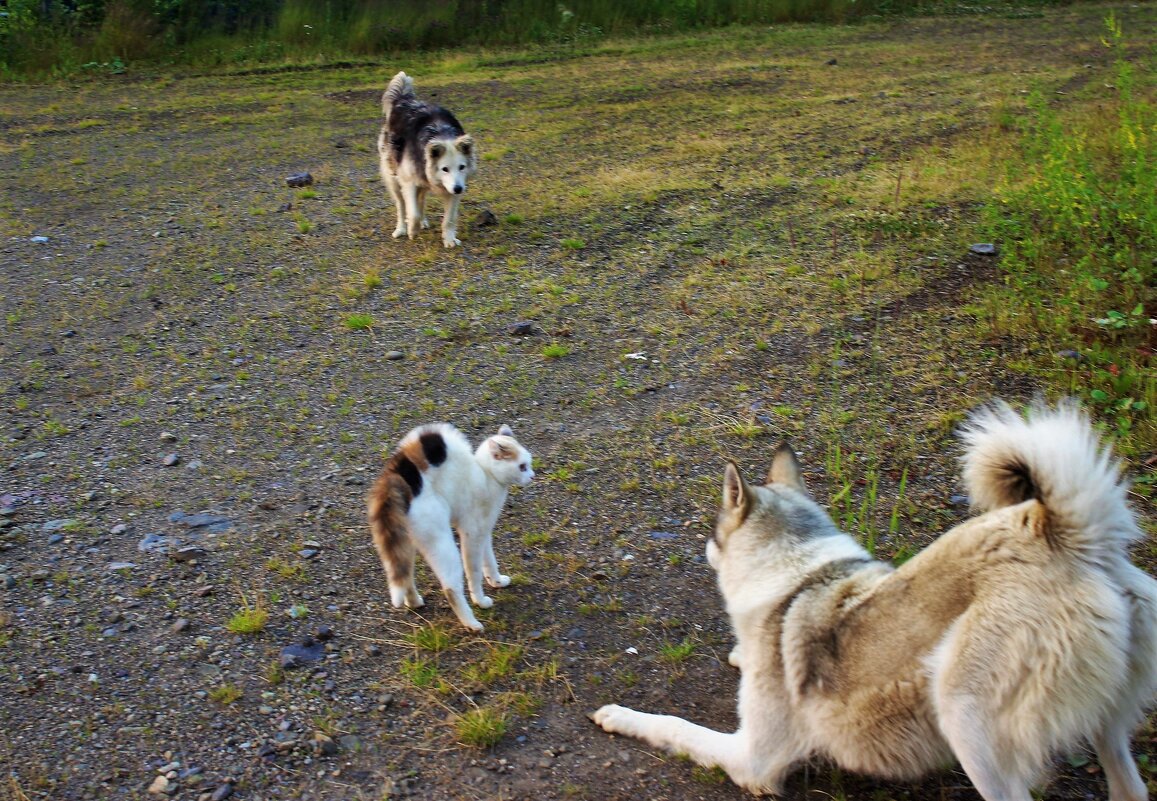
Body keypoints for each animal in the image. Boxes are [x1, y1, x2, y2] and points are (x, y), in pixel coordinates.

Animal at [367, 421, 534, 634]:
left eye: (529, 464)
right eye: (522, 467)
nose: (532, 476)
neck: (487, 475)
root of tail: (394, 475)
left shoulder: (484, 532)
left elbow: (489, 561)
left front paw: (496, 581)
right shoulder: (472, 534)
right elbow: (475, 571)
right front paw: (480, 600)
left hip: (406, 543)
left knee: (405, 573)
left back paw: (414, 602)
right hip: (443, 545)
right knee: (450, 588)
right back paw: (471, 623)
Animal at [379, 71, 478, 247]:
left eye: (462, 167)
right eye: (444, 169)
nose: (458, 189)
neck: (441, 134)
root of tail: (404, 100)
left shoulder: (453, 189)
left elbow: (449, 219)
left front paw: (449, 239)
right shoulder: (409, 182)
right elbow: (412, 213)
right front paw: (412, 230)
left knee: (420, 201)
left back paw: (423, 222)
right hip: (394, 180)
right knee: (401, 206)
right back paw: (401, 229)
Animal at [597, 400, 1157, 801]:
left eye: (715, 532)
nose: (706, 548)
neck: (796, 572)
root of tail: (1057, 533)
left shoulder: (753, 759)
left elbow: (674, 725)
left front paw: (620, 715)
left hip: (965, 718)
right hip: (1106, 729)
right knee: (1129, 787)